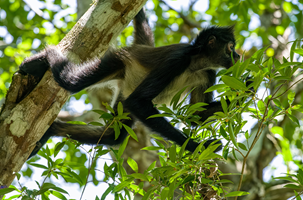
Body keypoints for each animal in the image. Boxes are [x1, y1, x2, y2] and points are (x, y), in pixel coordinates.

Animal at [20, 8, 241, 157]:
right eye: (230, 47)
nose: (238, 55)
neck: (195, 63)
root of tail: (140, 48)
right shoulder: (178, 60)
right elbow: (139, 102)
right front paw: (196, 147)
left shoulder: (208, 73)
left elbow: (196, 116)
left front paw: (245, 88)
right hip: (118, 60)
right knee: (72, 81)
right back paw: (45, 57)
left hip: (122, 93)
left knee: (113, 136)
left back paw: (51, 130)